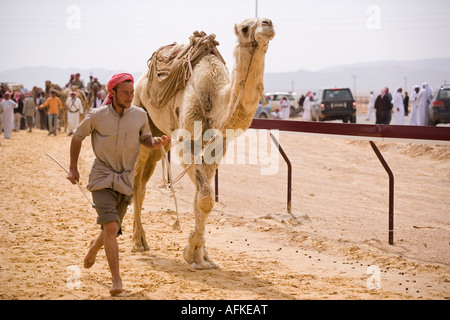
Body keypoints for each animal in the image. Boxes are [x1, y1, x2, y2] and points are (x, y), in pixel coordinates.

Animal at [132, 16, 276, 268]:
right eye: (245, 28)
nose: (268, 24)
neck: (216, 99)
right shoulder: (187, 144)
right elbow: (206, 197)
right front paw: (193, 253)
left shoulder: (216, 147)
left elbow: (201, 196)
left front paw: (202, 254)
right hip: (141, 116)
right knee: (136, 182)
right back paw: (137, 242)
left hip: (161, 136)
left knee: (144, 179)